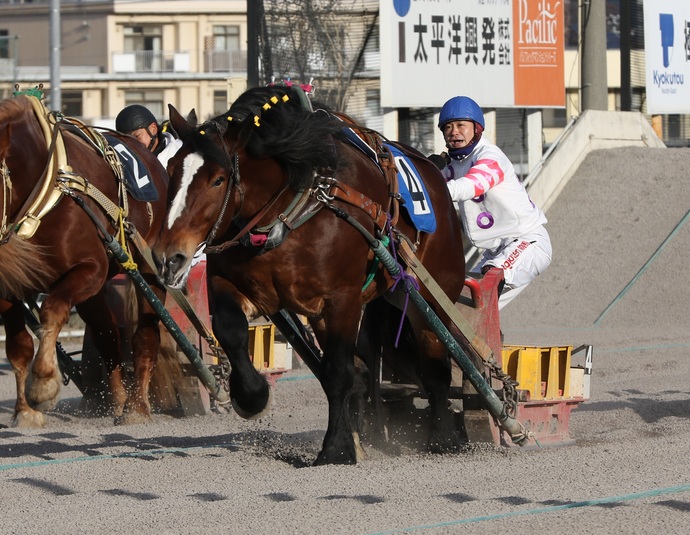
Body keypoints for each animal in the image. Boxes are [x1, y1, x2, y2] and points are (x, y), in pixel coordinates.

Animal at [0, 94, 171, 426]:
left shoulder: (89, 269)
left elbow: (52, 310)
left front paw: (43, 383)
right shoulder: (8, 286)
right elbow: (18, 347)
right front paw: (24, 411)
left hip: (147, 267)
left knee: (145, 334)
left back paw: (137, 406)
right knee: (108, 339)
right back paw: (117, 400)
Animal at [153, 86, 470, 466]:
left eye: (217, 179)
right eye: (170, 169)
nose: (169, 256)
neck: (288, 211)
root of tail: (434, 171)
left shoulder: (343, 299)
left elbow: (338, 372)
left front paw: (337, 447)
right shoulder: (230, 285)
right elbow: (232, 334)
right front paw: (253, 397)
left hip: (429, 296)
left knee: (434, 365)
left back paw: (443, 437)